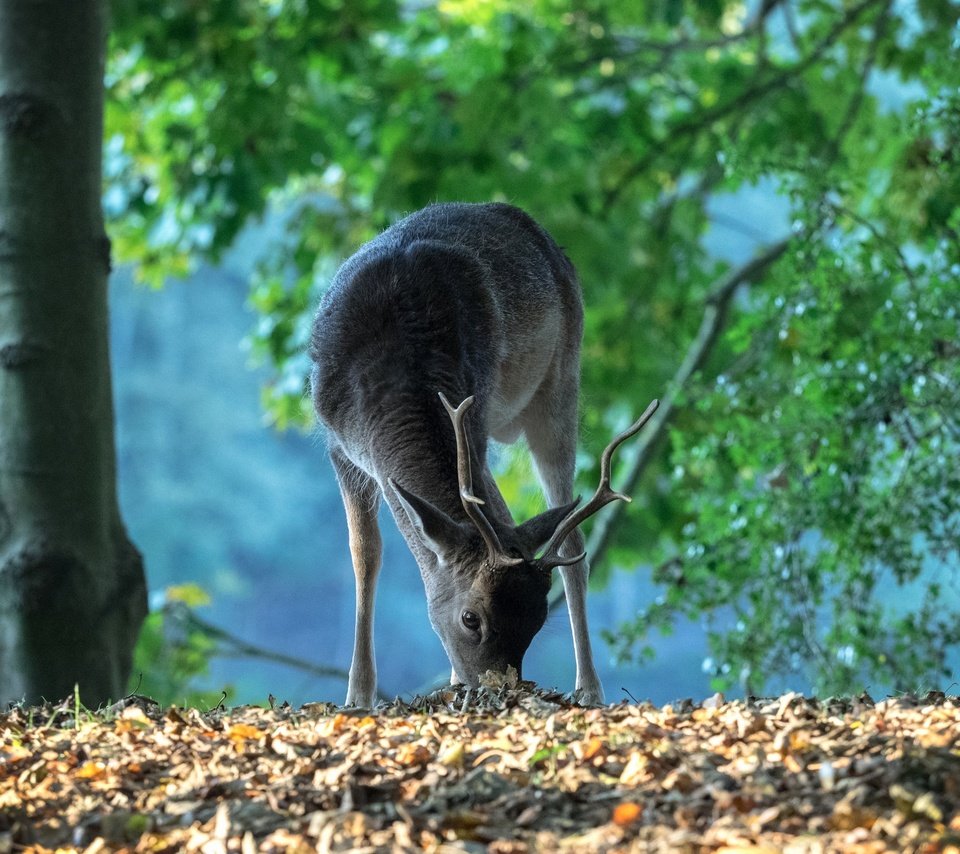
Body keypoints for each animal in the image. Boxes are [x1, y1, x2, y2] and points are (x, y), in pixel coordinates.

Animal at [312, 202, 656, 708]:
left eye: (536, 622)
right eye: (470, 618)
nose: (498, 690)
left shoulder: (472, 415)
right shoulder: (339, 447)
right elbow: (365, 555)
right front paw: (358, 695)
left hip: (561, 383)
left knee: (574, 545)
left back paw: (590, 688)